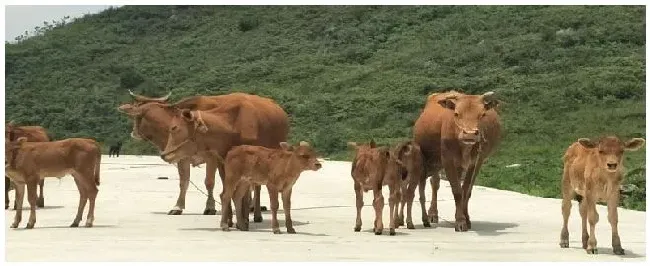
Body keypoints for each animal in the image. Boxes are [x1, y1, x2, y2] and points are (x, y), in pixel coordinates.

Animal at [117, 91, 288, 222]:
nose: (133, 133)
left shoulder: (211, 157)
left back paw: (256, 210)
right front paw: (177, 207)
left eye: (136, 116)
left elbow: (209, 182)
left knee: (256, 186)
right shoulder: (183, 158)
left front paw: (210, 207)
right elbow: (184, 182)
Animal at [412, 90, 498, 232]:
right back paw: (432, 214)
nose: (469, 134)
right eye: (457, 113)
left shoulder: (474, 162)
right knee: (435, 183)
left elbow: (465, 190)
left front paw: (466, 218)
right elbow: (457, 191)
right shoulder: (448, 160)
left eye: (482, 114)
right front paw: (460, 221)